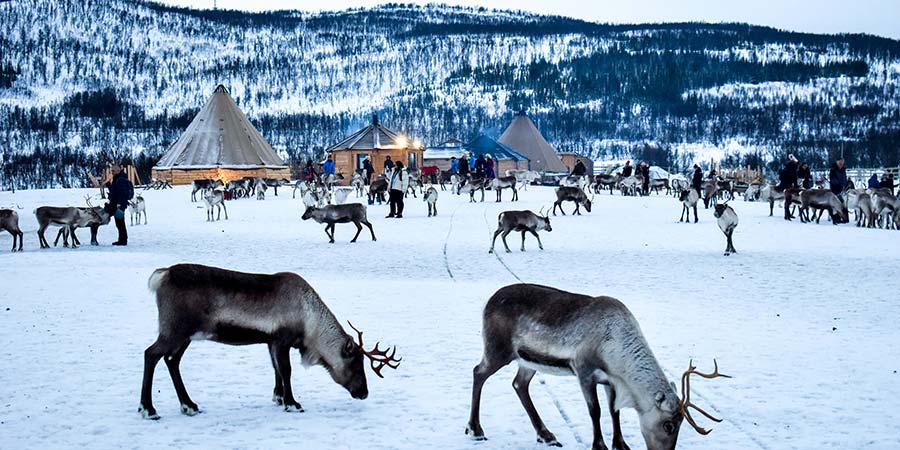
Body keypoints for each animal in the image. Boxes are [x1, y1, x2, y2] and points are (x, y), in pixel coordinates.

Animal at [139, 263, 400, 420]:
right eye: (355, 365)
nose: (364, 393)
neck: (309, 322)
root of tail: (161, 275)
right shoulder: (283, 339)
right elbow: (286, 370)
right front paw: (292, 403)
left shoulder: (271, 341)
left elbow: (276, 368)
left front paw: (279, 397)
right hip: (174, 330)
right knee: (151, 354)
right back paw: (148, 409)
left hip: (185, 336)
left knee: (171, 360)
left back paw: (189, 405)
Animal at [467, 283, 730, 450]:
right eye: (668, 425)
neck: (614, 346)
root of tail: (488, 302)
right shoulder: (583, 371)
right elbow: (596, 411)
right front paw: (599, 445)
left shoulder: (611, 380)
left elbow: (615, 411)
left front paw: (621, 444)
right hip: (498, 349)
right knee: (478, 372)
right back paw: (475, 429)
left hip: (527, 360)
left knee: (519, 384)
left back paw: (547, 435)